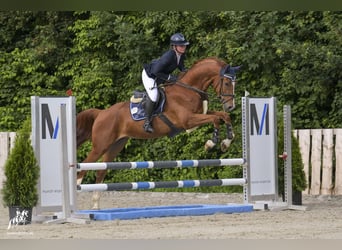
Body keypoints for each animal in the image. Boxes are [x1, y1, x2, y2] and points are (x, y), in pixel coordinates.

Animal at [76, 57, 240, 209]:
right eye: (227, 83)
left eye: (234, 84)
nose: (231, 106)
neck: (188, 90)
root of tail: (101, 113)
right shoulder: (188, 121)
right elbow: (215, 119)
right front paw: (211, 143)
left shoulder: (200, 114)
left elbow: (223, 116)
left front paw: (226, 142)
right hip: (100, 146)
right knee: (84, 166)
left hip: (115, 146)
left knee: (100, 172)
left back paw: (96, 205)